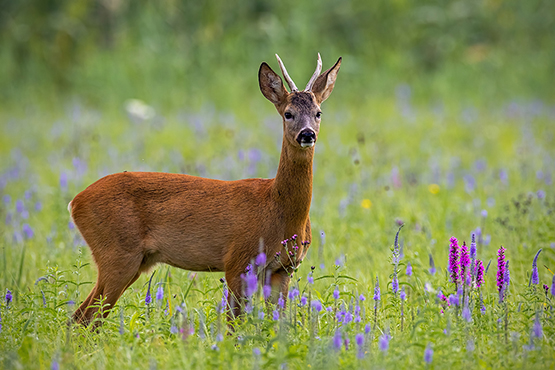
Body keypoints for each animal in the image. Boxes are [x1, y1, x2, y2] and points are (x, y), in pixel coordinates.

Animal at [67, 53, 340, 326]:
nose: (307, 134)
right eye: (288, 113)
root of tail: (75, 202)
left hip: (133, 260)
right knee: (83, 317)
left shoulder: (283, 270)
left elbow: (279, 323)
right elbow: (233, 324)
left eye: (318, 112)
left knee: (82, 318)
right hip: (117, 254)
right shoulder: (238, 261)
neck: (277, 206)